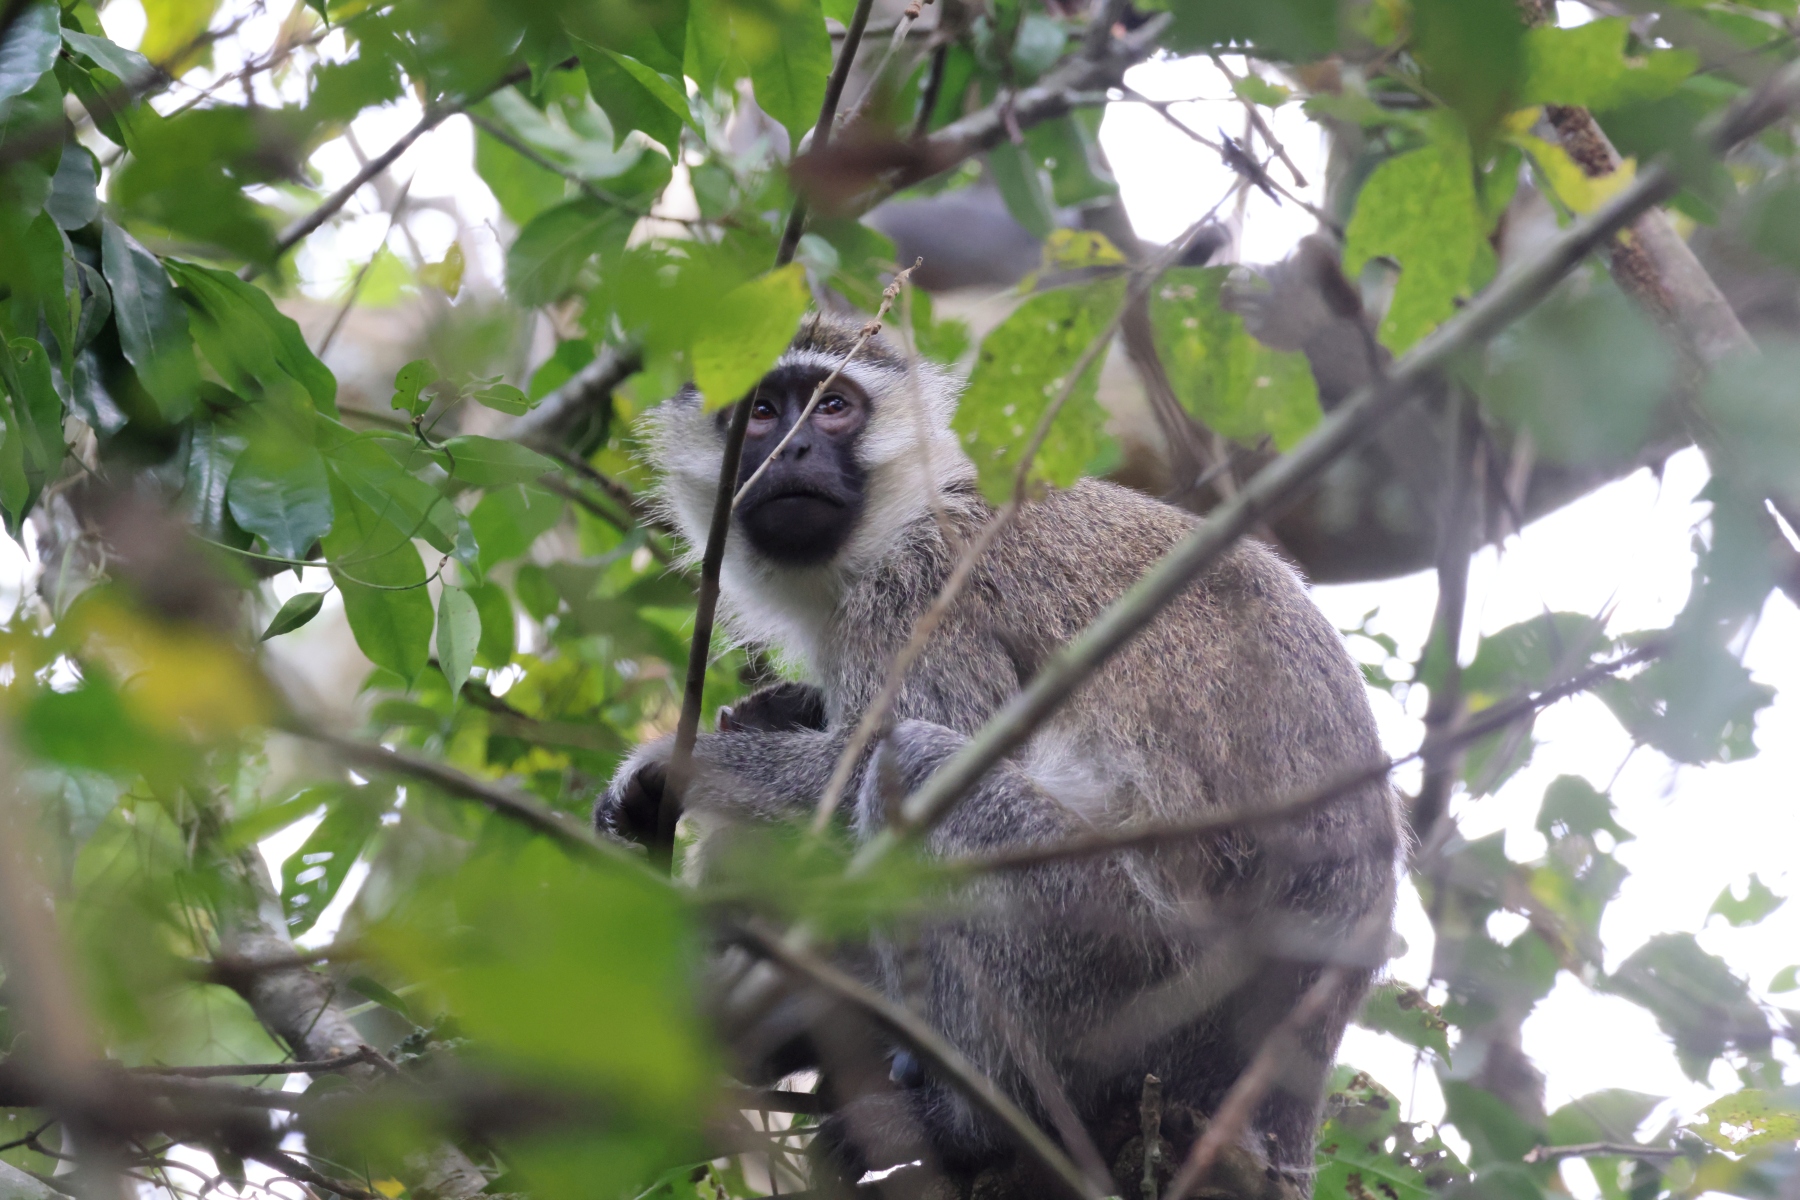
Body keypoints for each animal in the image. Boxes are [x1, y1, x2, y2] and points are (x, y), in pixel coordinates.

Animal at [598, 313, 1400, 1196]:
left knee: (914, 769)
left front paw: (672, 766)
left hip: (1132, 985)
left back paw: (976, 1126)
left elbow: (910, 747)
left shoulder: (924, 588)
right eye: (763, 413)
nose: (796, 447)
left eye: (833, 406)